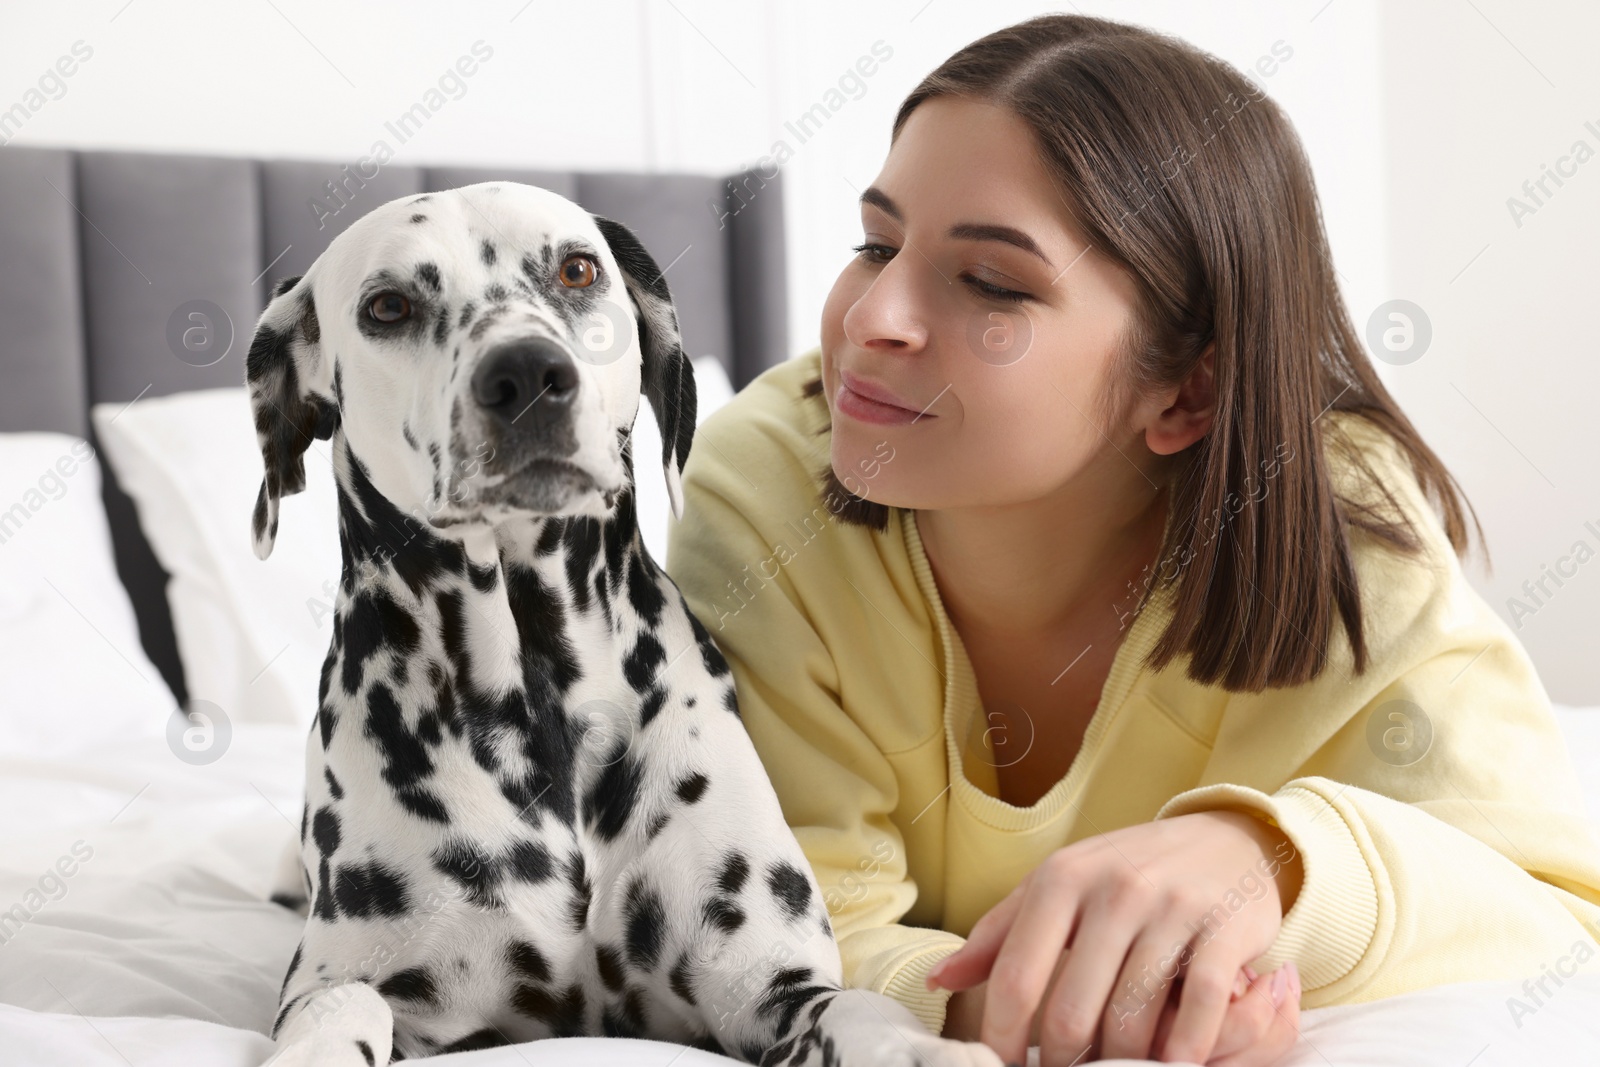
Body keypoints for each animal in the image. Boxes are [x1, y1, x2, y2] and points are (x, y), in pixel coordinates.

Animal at [243, 185, 1004, 1067]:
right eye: (388, 306)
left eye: (578, 269)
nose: (527, 375)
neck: (541, 694)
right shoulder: (370, 984)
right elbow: (343, 1006)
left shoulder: (766, 984)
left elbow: (859, 1007)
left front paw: (922, 1047)